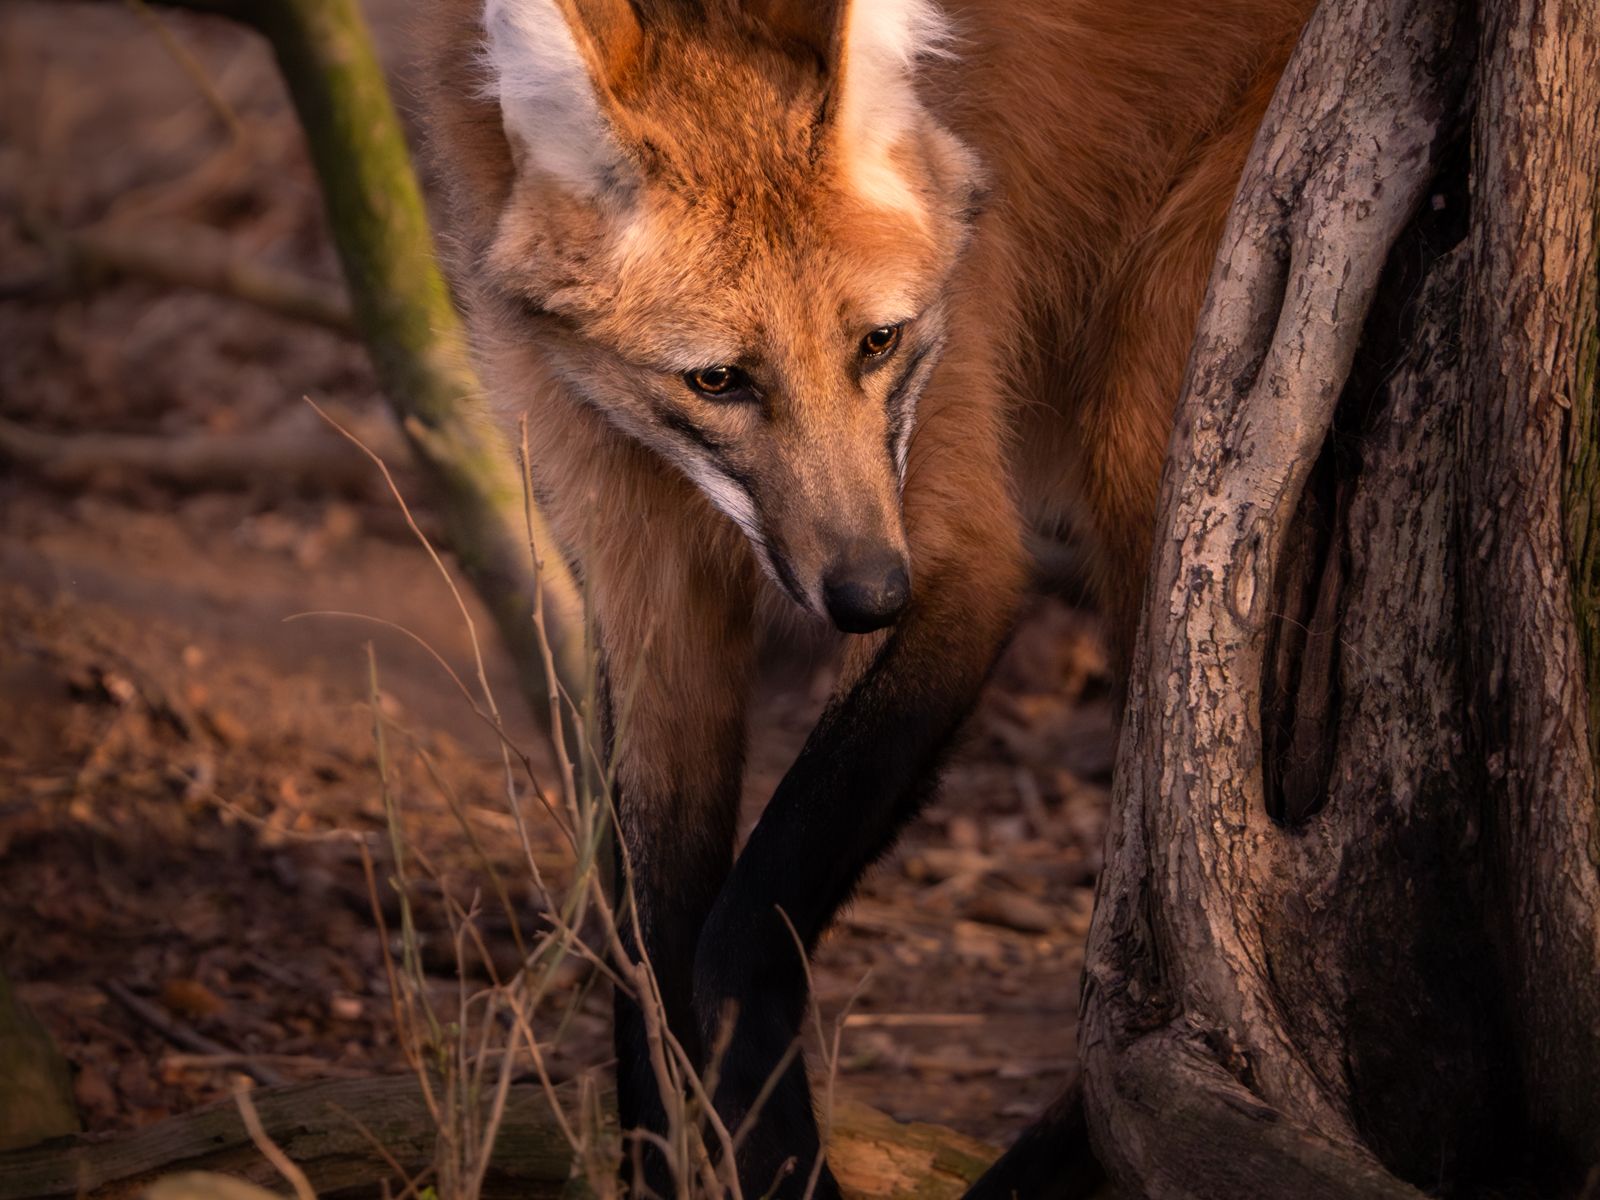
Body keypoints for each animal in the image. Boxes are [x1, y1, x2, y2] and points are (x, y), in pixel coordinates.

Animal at [421, 0, 1310, 1193]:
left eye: (877, 342)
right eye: (718, 380)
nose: (869, 597)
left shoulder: (960, 545)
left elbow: (735, 937)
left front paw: (776, 1157)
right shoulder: (644, 577)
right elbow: (652, 943)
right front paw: (681, 1157)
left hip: (1163, 406)